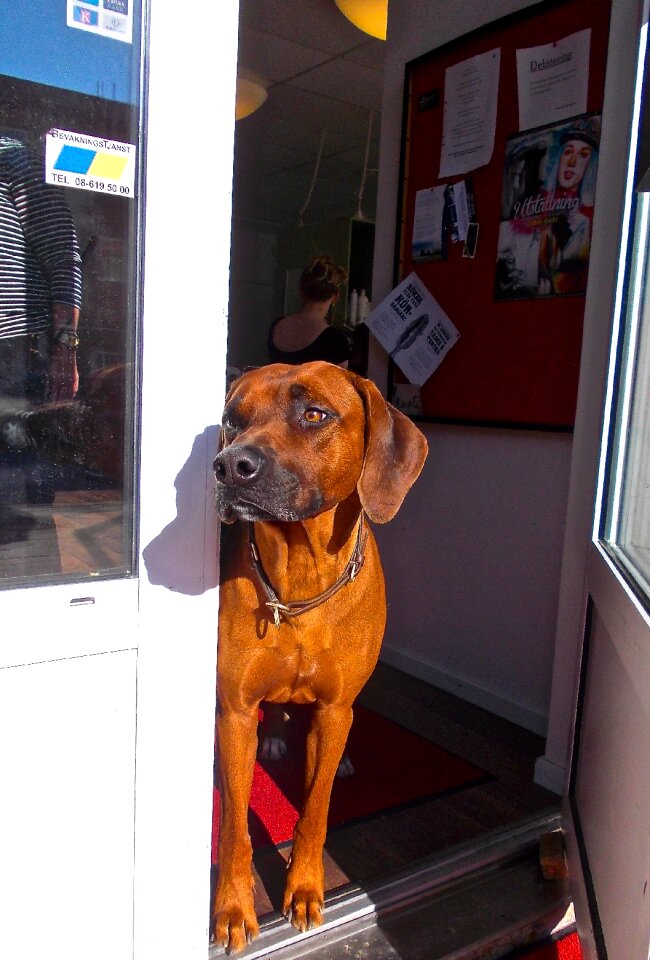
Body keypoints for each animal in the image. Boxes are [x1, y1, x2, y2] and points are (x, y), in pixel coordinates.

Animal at [211, 360, 426, 952]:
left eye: (314, 414)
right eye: (233, 419)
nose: (229, 466)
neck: (299, 579)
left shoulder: (332, 712)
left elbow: (316, 806)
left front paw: (305, 886)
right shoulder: (235, 713)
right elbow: (234, 823)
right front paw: (233, 905)